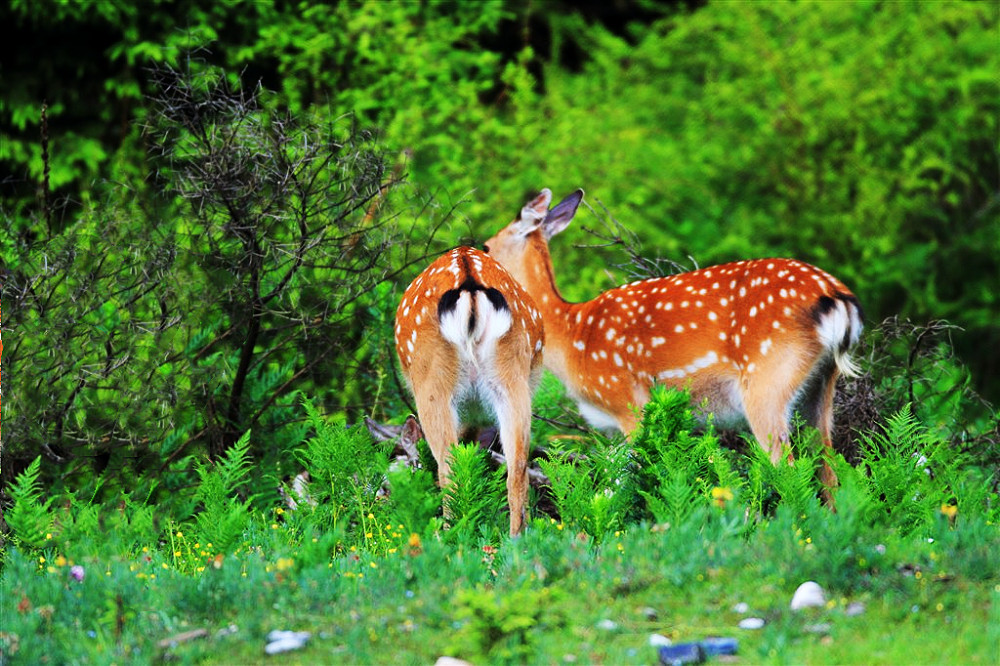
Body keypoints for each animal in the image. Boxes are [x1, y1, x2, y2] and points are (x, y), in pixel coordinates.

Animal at [392, 246, 548, 532]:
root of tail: (470, 283)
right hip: (512, 377)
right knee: (518, 466)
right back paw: (519, 534)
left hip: (431, 382)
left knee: (448, 466)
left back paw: (452, 533)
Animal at [482, 187, 860, 498]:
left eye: (487, 246)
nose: (476, 255)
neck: (572, 336)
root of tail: (837, 299)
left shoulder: (628, 401)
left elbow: (623, 480)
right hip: (821, 385)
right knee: (830, 471)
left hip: (767, 380)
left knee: (789, 470)